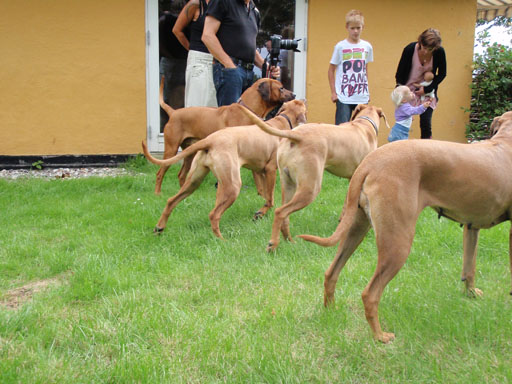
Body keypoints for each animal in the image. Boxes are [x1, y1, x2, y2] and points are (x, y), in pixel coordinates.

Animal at [142, 100, 306, 237]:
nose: (303, 98)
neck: (281, 121)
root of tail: (210, 140)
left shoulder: (259, 171)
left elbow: (264, 194)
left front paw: (261, 213)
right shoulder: (270, 170)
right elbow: (270, 199)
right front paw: (261, 212)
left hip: (198, 181)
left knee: (172, 201)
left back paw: (159, 227)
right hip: (233, 186)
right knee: (214, 214)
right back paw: (221, 240)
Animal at [156, 78, 294, 194]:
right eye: (281, 88)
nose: (294, 95)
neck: (247, 111)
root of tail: (173, 112)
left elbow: (258, 180)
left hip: (190, 152)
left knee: (181, 174)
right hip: (171, 149)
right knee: (160, 173)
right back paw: (158, 194)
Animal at [240, 104, 388, 252]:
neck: (364, 123)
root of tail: (297, 135)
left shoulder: (352, 179)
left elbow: (346, 204)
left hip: (288, 185)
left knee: (284, 214)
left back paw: (289, 240)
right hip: (310, 189)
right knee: (280, 212)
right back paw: (273, 244)